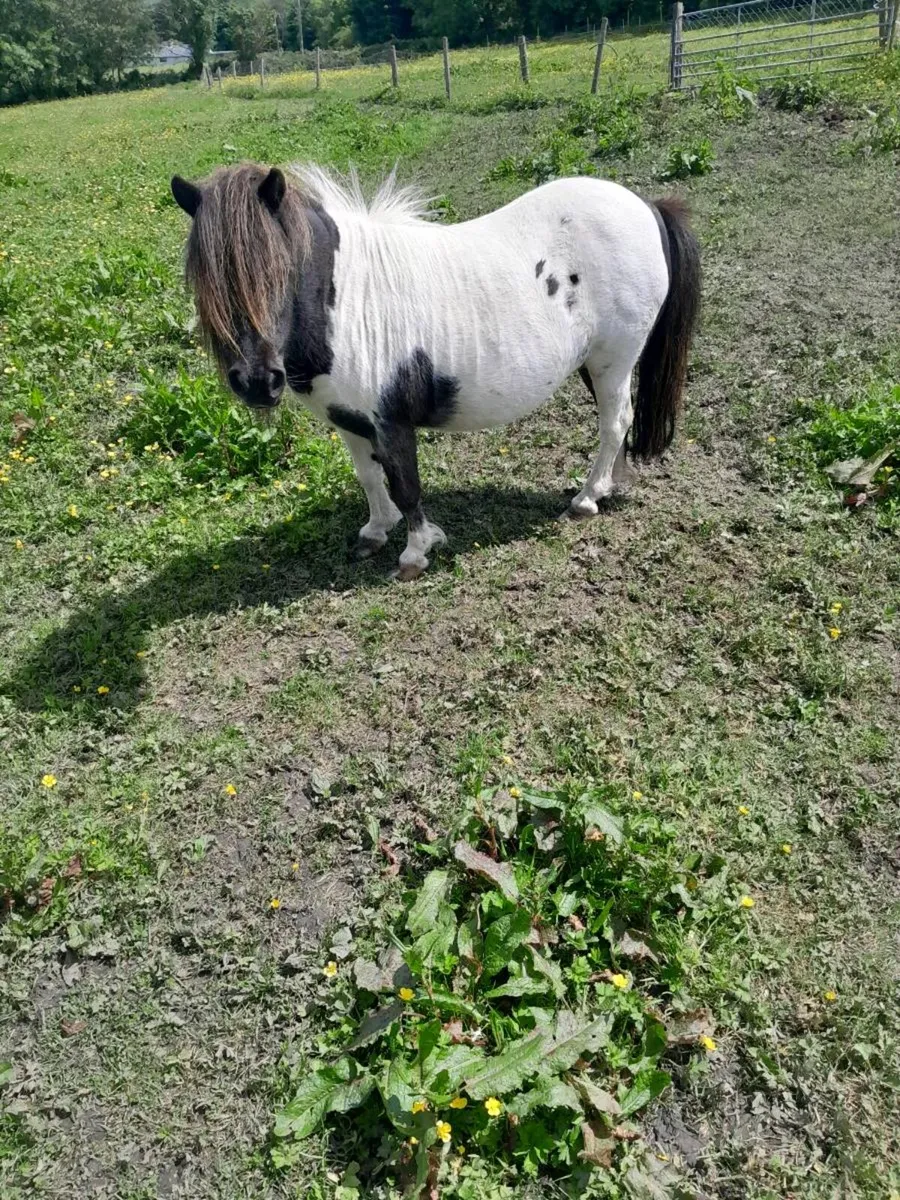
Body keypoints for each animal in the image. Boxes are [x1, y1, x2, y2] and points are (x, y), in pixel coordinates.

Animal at [170, 162, 700, 580]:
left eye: (280, 270)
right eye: (204, 278)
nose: (257, 383)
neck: (344, 301)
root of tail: (645, 206)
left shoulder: (391, 421)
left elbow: (406, 485)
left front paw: (415, 553)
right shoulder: (349, 420)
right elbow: (369, 477)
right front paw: (374, 532)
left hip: (614, 359)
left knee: (614, 423)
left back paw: (586, 499)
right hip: (596, 364)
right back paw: (608, 486)